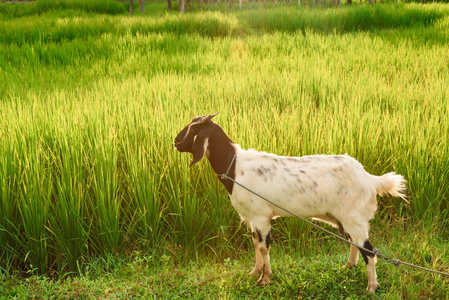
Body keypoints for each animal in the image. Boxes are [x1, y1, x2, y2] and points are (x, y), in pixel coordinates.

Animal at [174, 112, 406, 290]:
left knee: (368, 251)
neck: (235, 167)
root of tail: (369, 179)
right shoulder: (252, 218)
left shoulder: (261, 217)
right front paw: (254, 272)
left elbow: (264, 247)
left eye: (193, 128)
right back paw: (349, 267)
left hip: (354, 217)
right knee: (355, 244)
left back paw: (371, 287)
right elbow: (255, 244)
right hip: (349, 218)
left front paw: (265, 279)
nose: (175, 141)